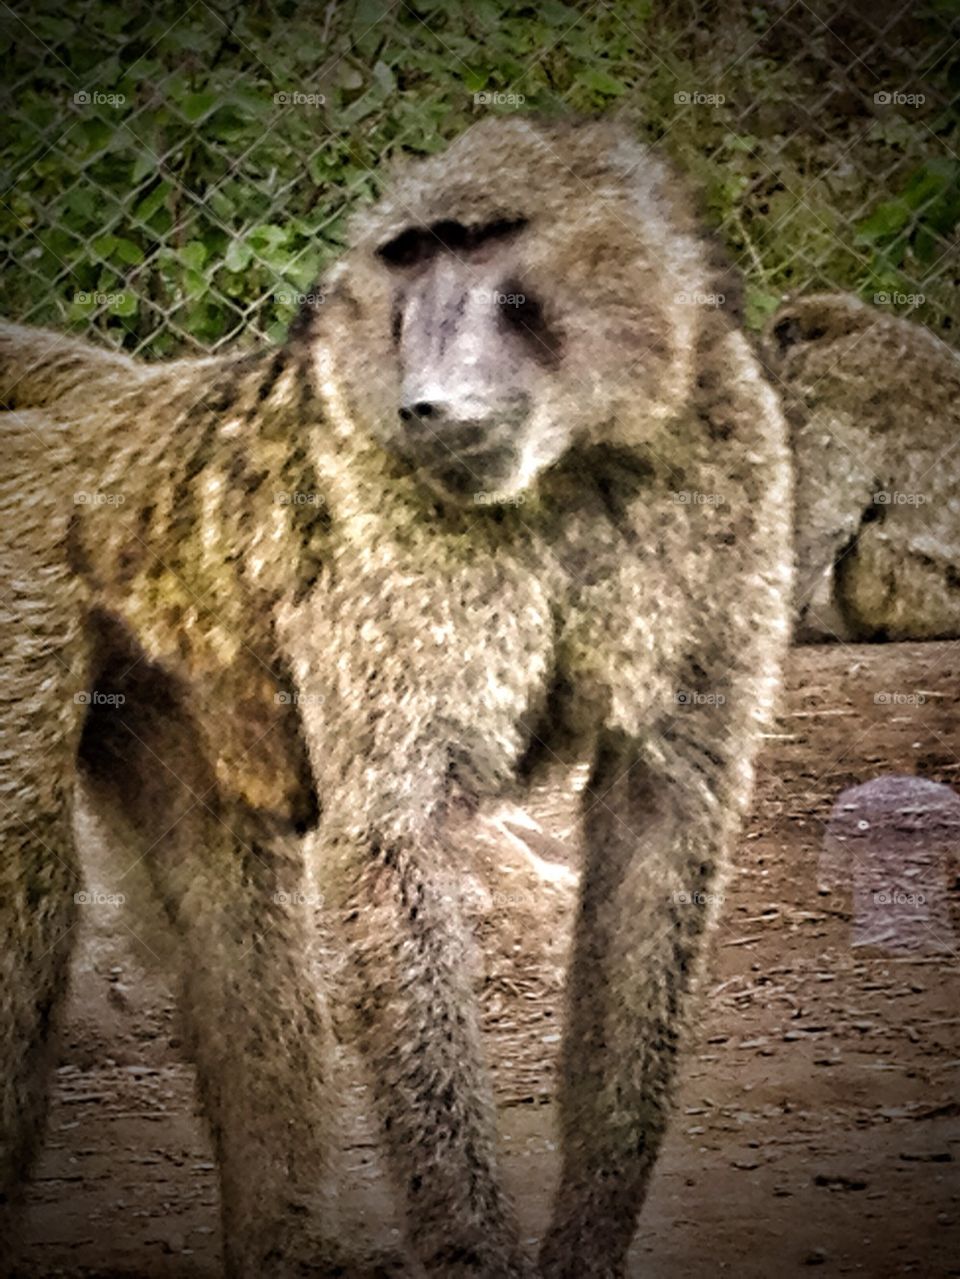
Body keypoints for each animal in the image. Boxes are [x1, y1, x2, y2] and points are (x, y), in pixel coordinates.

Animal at [0, 115, 793, 1278]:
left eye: (486, 244)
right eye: (410, 257)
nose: (426, 397)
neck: (571, 468)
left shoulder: (727, 459)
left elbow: (660, 824)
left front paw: (586, 1246)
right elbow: (393, 837)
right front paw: (474, 1250)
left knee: (229, 897)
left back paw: (286, 1249)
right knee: (30, 885)